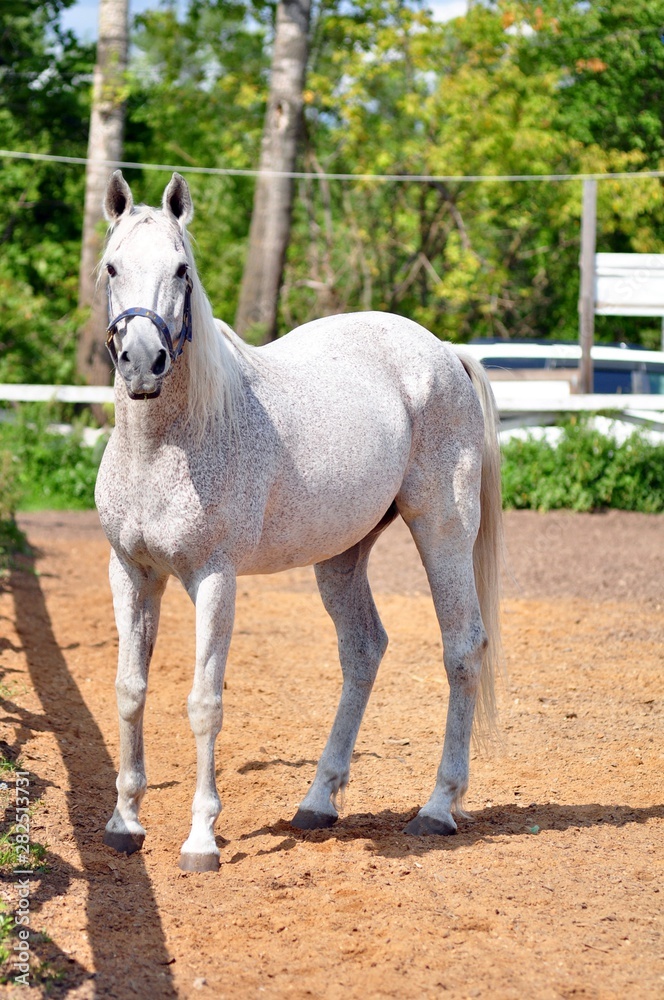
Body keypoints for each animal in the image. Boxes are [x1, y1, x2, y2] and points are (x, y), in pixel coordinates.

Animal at [95, 170, 503, 872]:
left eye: (182, 270)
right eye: (113, 266)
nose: (144, 363)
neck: (164, 446)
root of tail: (444, 352)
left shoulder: (214, 578)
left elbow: (204, 702)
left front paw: (201, 840)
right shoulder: (133, 572)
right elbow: (130, 689)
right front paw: (125, 824)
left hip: (442, 528)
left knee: (463, 648)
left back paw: (437, 807)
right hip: (342, 555)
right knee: (363, 649)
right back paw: (318, 802)